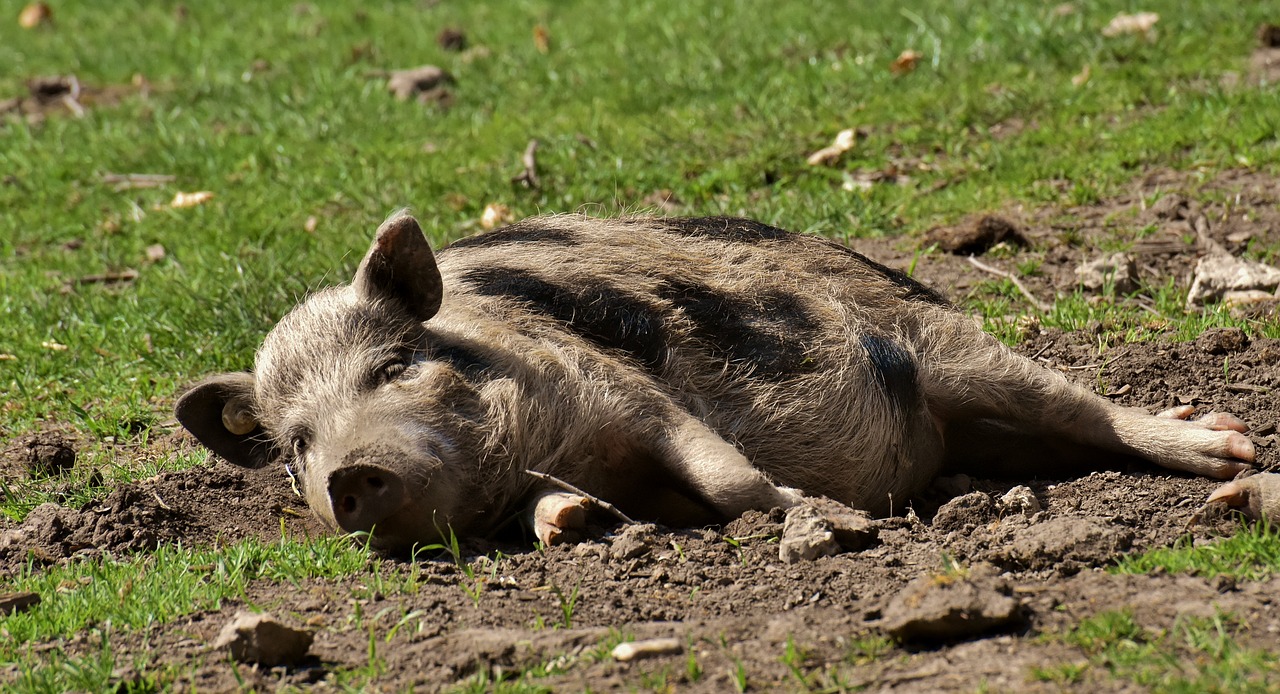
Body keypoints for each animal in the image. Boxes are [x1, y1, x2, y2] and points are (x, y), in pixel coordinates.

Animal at [175, 215, 1254, 553]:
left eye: (394, 365)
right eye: (294, 446)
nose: (346, 472)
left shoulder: (626, 391)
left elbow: (727, 473)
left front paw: (824, 517)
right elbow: (552, 509)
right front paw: (576, 524)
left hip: (952, 344)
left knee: (1091, 410)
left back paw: (1226, 446)